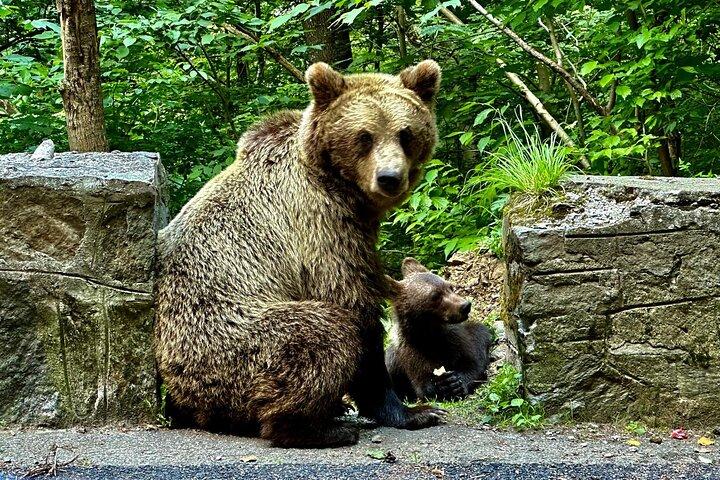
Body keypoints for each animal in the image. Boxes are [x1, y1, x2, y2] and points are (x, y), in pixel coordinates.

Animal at [154, 60, 446, 448]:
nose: (389, 177)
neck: (342, 188)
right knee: (321, 333)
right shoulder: (321, 226)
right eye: (365, 135)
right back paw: (319, 427)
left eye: (405, 133)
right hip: (229, 346)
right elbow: (353, 306)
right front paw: (411, 411)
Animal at [385, 258, 493, 402]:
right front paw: (441, 385)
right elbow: (423, 385)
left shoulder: (457, 339)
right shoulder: (412, 351)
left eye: (450, 286)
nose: (465, 306)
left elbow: (474, 361)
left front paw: (456, 382)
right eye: (435, 296)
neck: (432, 335)